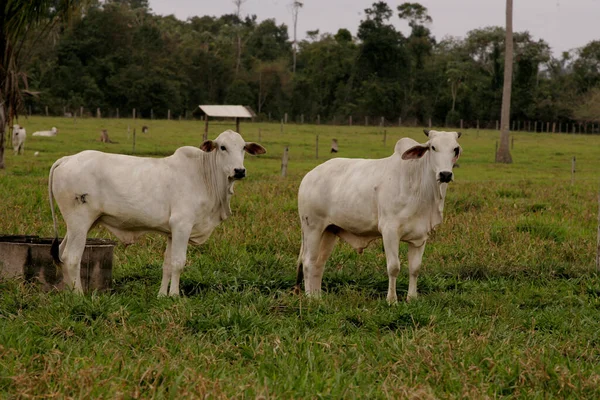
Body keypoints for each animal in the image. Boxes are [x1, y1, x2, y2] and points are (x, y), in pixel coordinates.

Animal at [50, 130, 266, 296]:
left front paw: (162, 295)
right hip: (80, 222)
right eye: (222, 147)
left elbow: (167, 264)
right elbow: (179, 262)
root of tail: (67, 159)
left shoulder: (172, 232)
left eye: (243, 148)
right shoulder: (182, 225)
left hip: (79, 225)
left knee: (61, 254)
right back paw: (78, 295)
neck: (203, 175)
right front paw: (175, 295)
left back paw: (67, 293)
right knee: (72, 257)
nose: (239, 170)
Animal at [296, 131, 464, 304]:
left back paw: (318, 297)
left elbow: (415, 268)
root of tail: (309, 176)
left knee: (319, 263)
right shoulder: (390, 231)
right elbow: (394, 267)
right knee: (308, 262)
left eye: (456, 149)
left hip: (329, 230)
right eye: (433, 147)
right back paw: (310, 298)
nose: (445, 174)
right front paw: (392, 300)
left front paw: (412, 298)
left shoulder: (420, 236)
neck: (419, 185)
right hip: (312, 227)